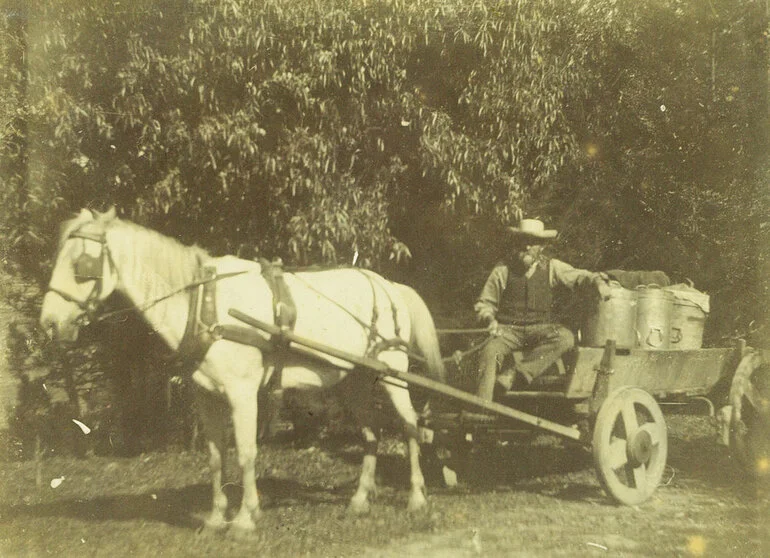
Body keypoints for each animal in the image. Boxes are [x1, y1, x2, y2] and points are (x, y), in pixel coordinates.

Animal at [40, 209, 444, 532]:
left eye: (82, 266)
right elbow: (216, 457)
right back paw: (359, 500)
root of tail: (389, 285)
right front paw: (217, 517)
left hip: (393, 373)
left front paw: (246, 518)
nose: (49, 323)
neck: (205, 305)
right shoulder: (206, 396)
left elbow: (247, 452)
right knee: (371, 432)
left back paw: (417, 498)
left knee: (410, 427)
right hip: (353, 381)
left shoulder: (243, 393)